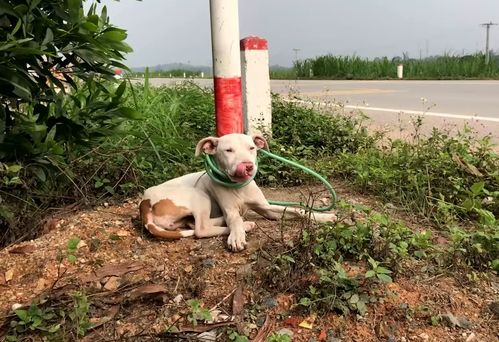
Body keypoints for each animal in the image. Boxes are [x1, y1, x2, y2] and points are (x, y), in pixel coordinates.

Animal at [139, 132, 338, 250]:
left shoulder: (267, 209)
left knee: (193, 223)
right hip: (199, 195)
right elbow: (234, 220)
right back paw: (245, 225)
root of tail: (144, 201)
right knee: (201, 229)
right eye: (228, 150)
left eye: (252, 148)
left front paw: (325, 217)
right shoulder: (231, 210)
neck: (240, 187)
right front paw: (236, 235)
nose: (248, 166)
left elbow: (297, 210)